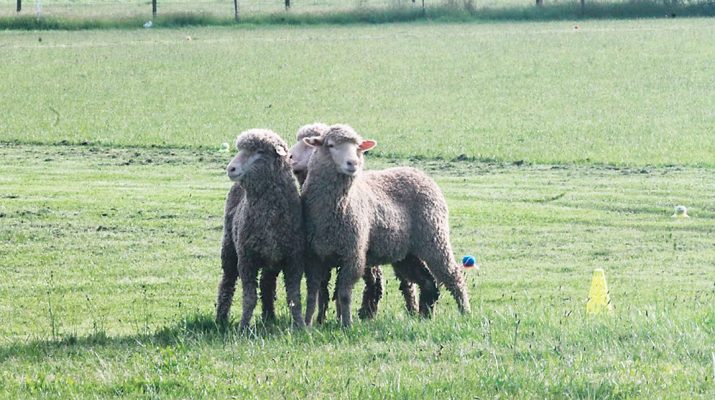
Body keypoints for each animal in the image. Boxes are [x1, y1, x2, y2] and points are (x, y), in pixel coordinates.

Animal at [215, 129, 305, 329]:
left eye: (259, 151)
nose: (231, 169)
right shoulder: (246, 260)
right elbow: (249, 298)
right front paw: (243, 327)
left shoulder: (294, 260)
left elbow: (294, 298)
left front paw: (301, 325)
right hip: (230, 249)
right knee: (227, 282)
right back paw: (221, 319)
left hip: (271, 260)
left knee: (266, 284)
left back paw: (269, 316)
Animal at [301, 124, 470, 327]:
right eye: (330, 145)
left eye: (358, 147)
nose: (352, 163)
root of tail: (420, 173)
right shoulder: (314, 257)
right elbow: (314, 293)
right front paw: (308, 324)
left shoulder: (353, 255)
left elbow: (344, 294)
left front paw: (346, 324)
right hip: (406, 253)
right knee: (428, 281)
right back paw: (425, 317)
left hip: (434, 238)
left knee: (453, 274)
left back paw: (465, 312)